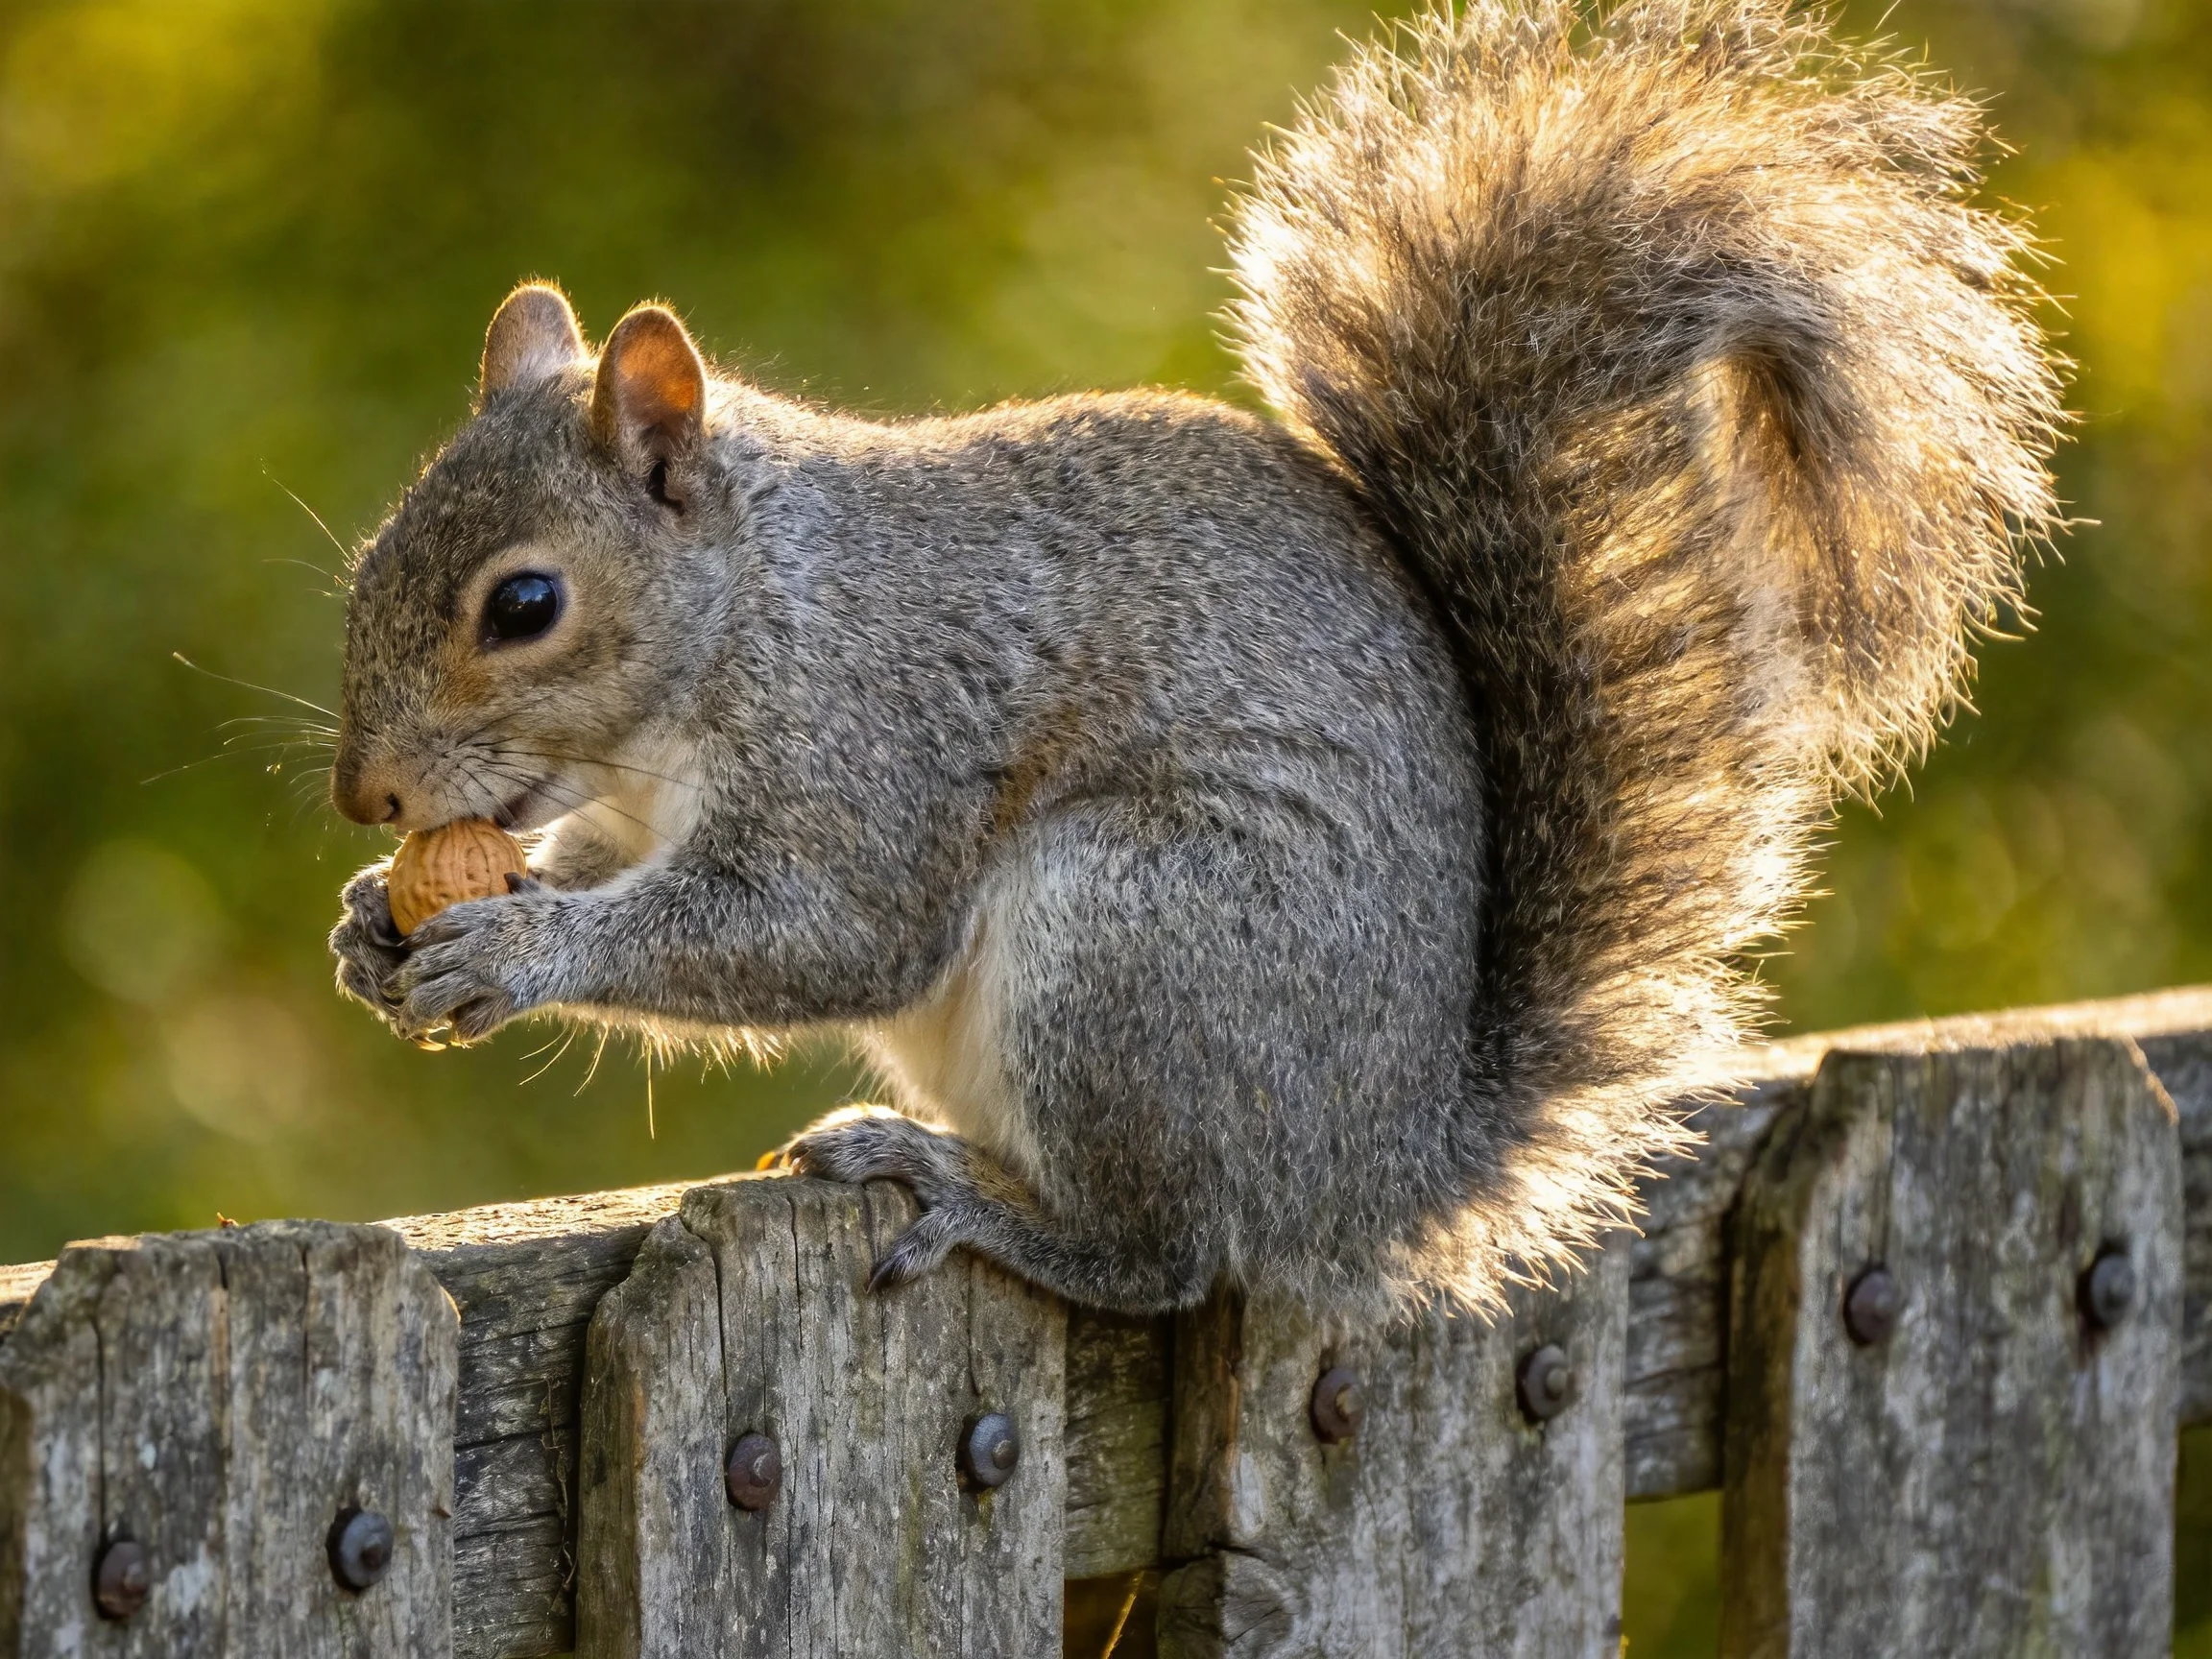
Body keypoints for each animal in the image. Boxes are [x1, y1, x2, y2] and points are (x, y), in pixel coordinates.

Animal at [328, 0, 2061, 1319]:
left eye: (524, 605)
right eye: (365, 566)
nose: (366, 797)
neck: (751, 611)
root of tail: (1380, 1173)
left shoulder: (875, 739)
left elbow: (817, 932)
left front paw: (514, 951)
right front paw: (375, 923)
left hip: (1136, 939)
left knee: (1159, 1257)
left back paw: (973, 1196)